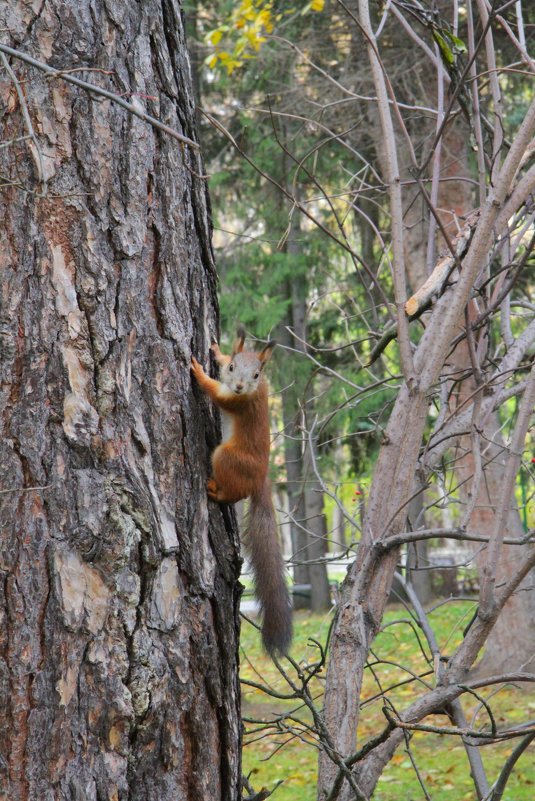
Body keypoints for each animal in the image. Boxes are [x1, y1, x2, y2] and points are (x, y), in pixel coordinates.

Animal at [192, 326, 294, 656]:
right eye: (235, 367)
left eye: (257, 374)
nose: (238, 386)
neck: (253, 391)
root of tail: (261, 477)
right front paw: (215, 351)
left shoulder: (235, 401)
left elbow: (214, 392)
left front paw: (198, 371)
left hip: (226, 457)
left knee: (233, 494)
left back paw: (215, 491)